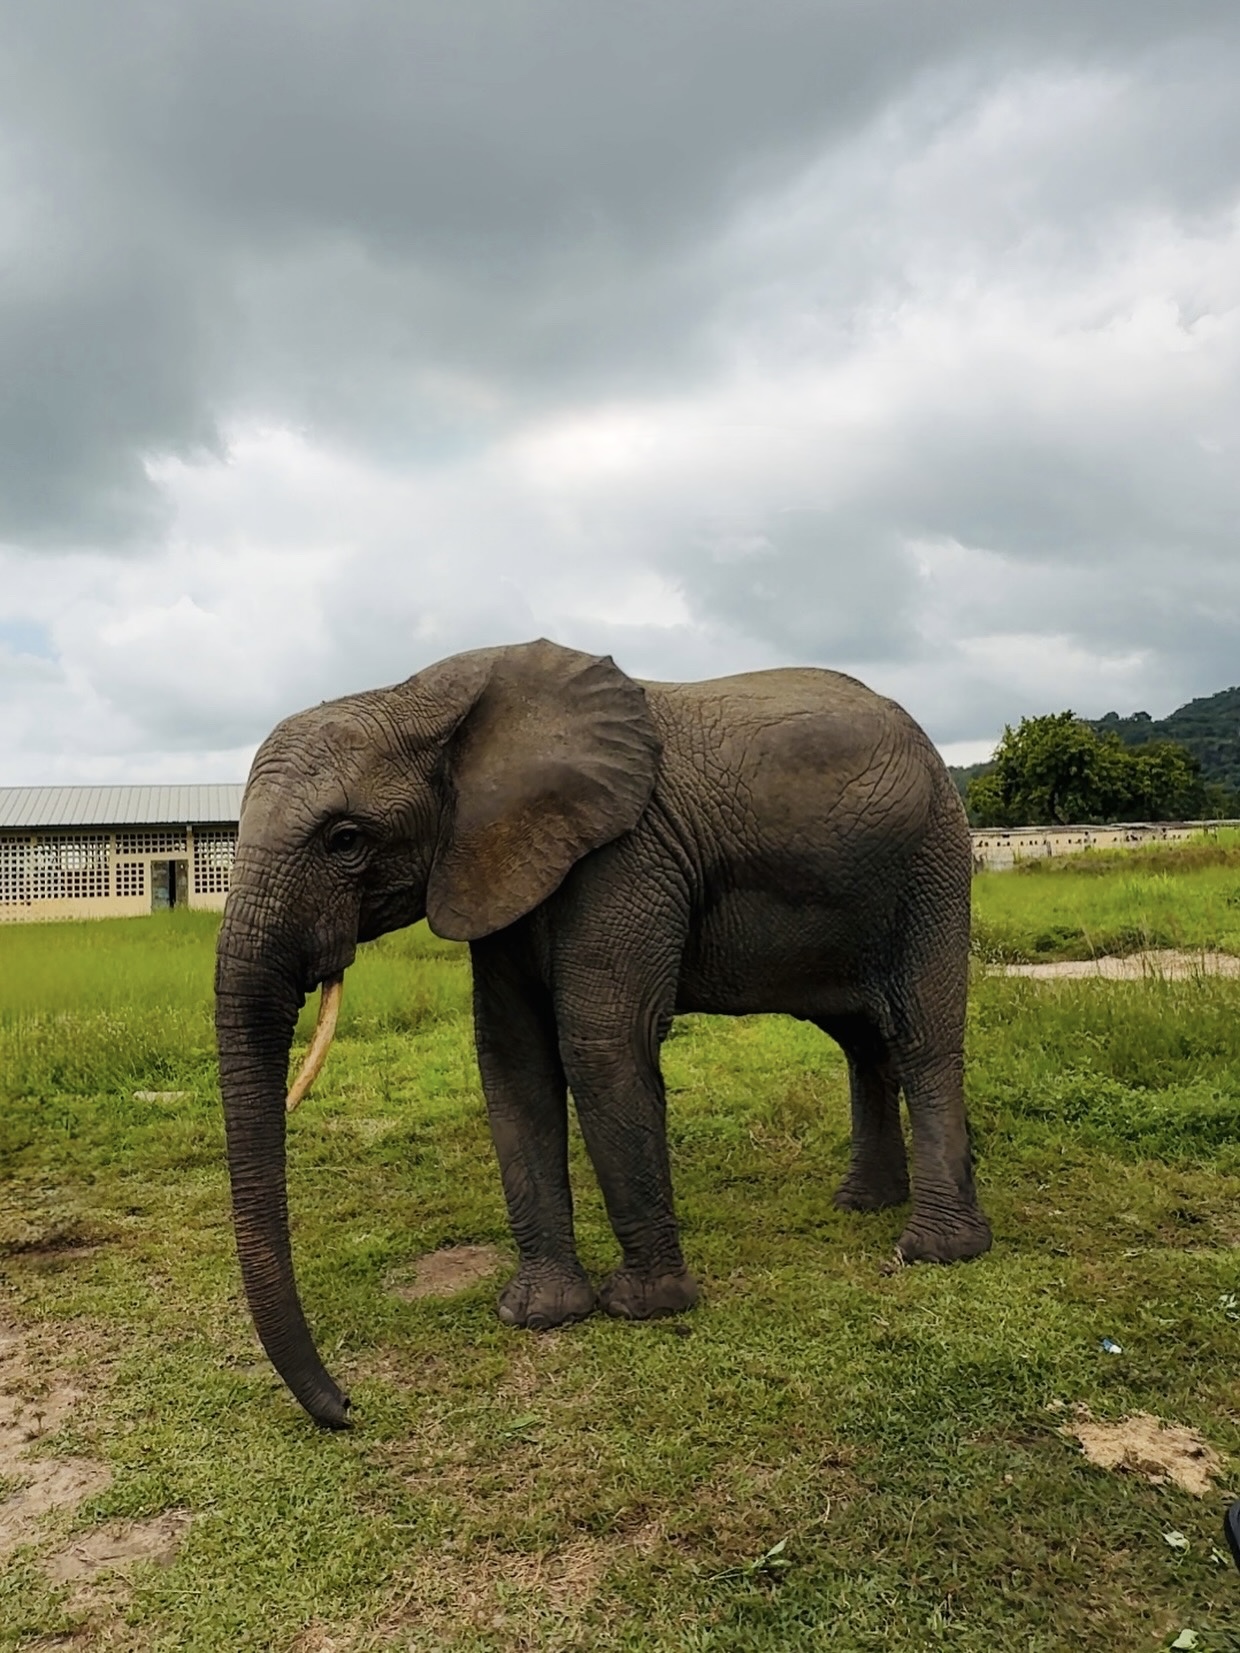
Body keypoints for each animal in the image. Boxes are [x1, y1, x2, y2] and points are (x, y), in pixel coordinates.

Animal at [215, 638, 990, 1428]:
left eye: (344, 839)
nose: (348, 1406)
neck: (425, 693)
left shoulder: (627, 855)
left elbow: (600, 1044)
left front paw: (646, 1308)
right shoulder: (499, 864)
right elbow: (512, 1057)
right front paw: (539, 1315)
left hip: (932, 860)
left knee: (922, 1035)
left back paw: (935, 1249)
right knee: (862, 1039)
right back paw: (861, 1203)